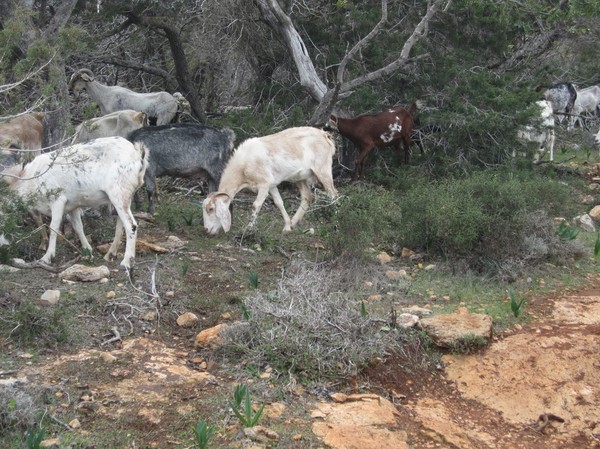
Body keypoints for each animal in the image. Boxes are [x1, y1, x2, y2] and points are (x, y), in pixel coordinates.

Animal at [203, 124, 338, 233]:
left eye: (211, 209)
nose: (207, 230)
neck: (243, 165)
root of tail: (325, 135)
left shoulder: (264, 183)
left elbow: (256, 205)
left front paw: (249, 229)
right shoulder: (272, 184)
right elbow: (279, 202)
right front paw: (287, 227)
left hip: (323, 169)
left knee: (333, 194)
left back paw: (336, 225)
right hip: (300, 177)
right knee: (307, 197)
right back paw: (293, 223)